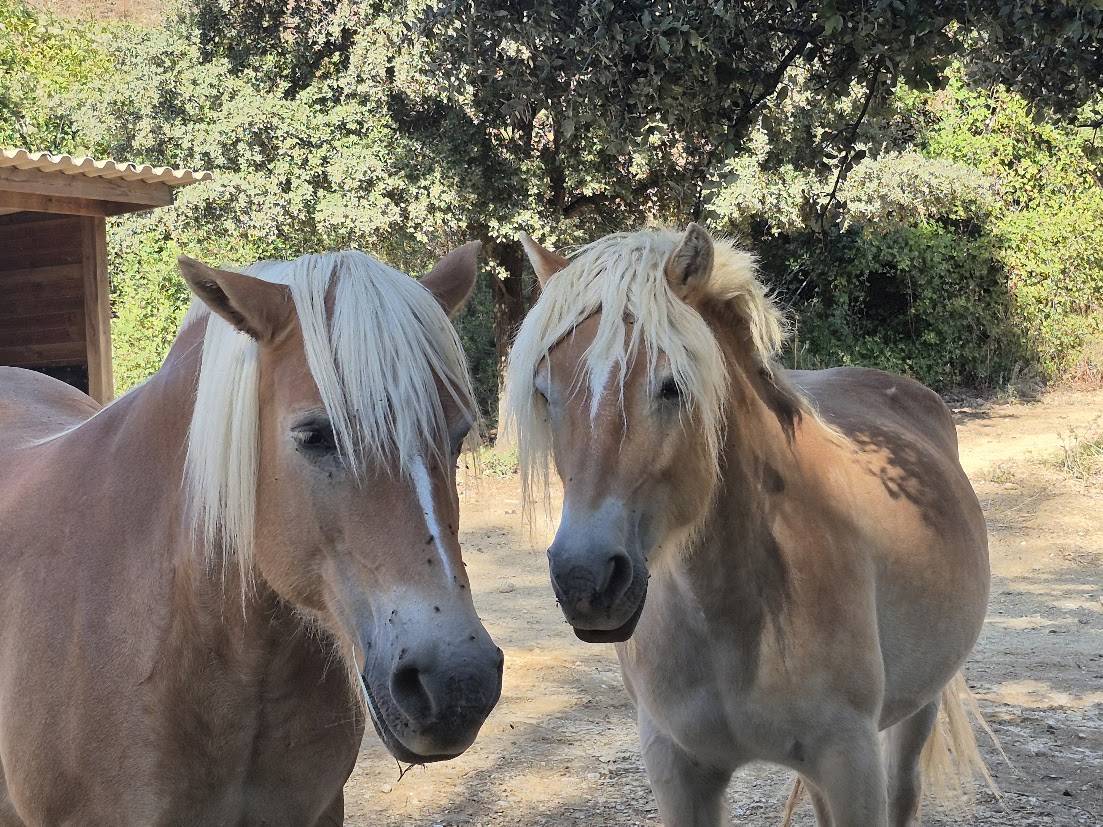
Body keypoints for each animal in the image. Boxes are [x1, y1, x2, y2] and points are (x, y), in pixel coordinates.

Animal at [506, 226, 995, 826]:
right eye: (544, 391)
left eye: (672, 386)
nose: (586, 579)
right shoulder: (678, 771)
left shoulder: (851, 764)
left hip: (917, 713)